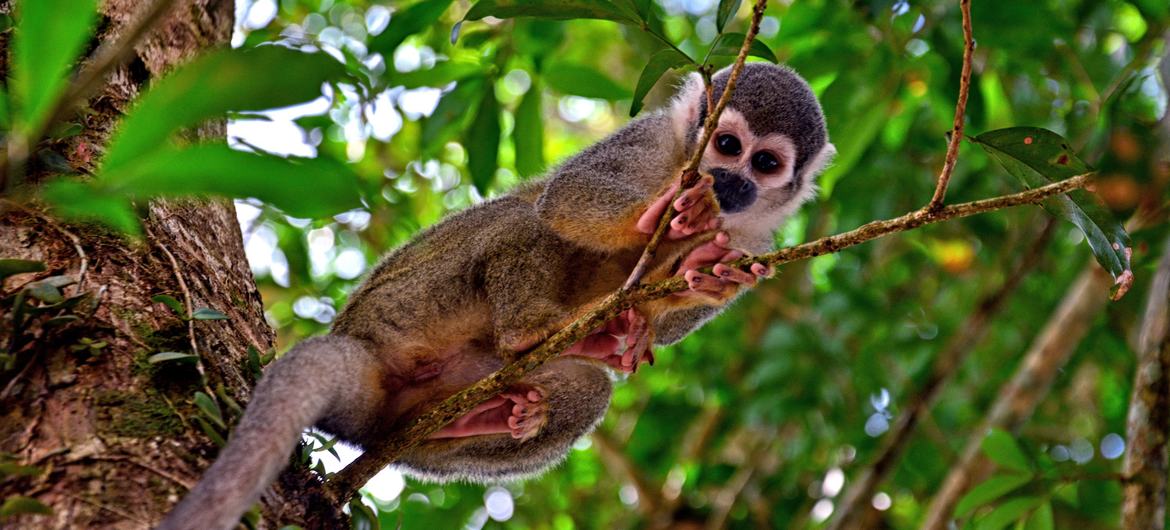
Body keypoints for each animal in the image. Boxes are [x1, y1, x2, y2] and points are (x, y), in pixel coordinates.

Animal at [157, 62, 833, 528]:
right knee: (522, 217)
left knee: (586, 388)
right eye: (726, 145)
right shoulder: (652, 140)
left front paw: (699, 274)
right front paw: (661, 218)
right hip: (406, 304)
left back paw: (474, 415)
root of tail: (358, 345)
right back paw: (527, 329)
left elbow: (677, 309)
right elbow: (565, 202)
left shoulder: (759, 231)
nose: (730, 180)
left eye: (765, 163)